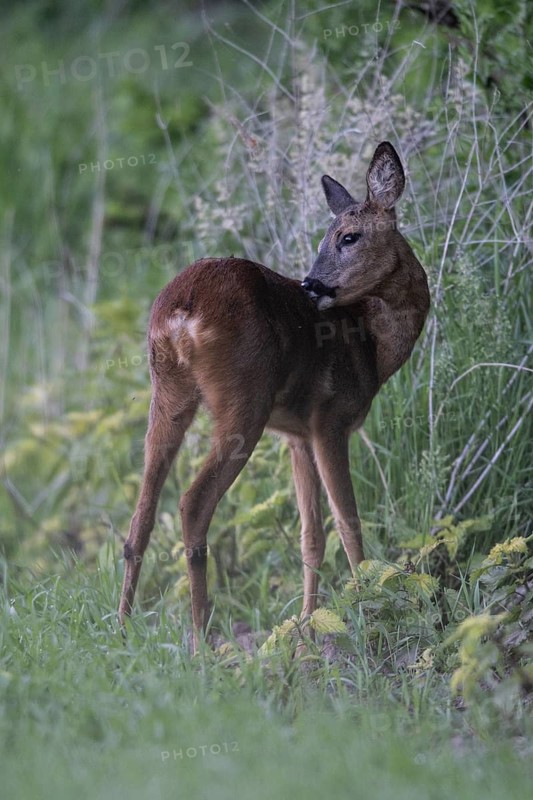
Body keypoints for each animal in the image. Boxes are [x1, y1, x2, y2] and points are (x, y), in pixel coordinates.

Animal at [118, 141, 430, 652]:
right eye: (331, 237)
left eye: (348, 237)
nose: (312, 284)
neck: (372, 344)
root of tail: (181, 310)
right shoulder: (330, 419)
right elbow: (348, 521)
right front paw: (369, 607)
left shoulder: (296, 435)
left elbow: (311, 534)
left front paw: (305, 629)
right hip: (243, 401)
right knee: (192, 502)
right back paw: (201, 640)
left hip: (167, 393)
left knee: (141, 514)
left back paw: (124, 627)